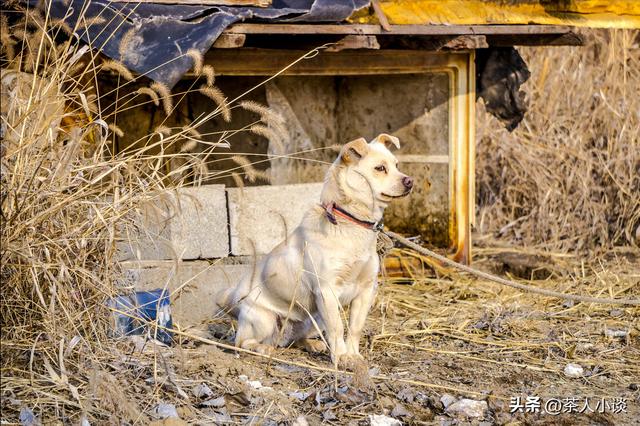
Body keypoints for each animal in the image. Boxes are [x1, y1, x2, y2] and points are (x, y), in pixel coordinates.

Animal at [218, 136, 412, 366]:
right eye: (380, 168)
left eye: (397, 165)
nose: (409, 181)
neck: (350, 221)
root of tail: (235, 302)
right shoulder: (326, 291)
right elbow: (337, 328)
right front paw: (341, 357)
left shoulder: (366, 290)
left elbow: (354, 328)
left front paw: (353, 356)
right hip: (265, 320)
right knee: (242, 343)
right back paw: (263, 349)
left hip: (313, 318)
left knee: (294, 339)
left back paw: (313, 344)